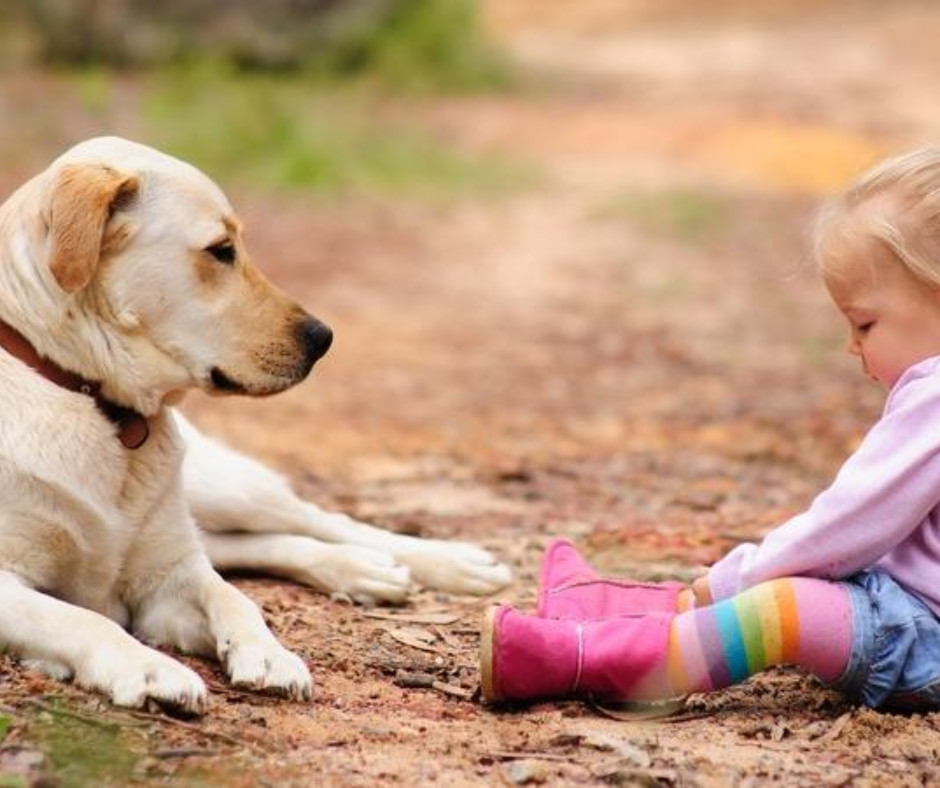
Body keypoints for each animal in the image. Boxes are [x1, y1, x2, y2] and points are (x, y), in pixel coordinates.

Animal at [0, 137, 506, 716]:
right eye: (221, 249)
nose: (324, 338)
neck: (98, 405)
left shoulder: (171, 575)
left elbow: (233, 597)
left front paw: (269, 655)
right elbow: (80, 617)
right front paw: (149, 668)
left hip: (224, 488)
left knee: (312, 519)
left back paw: (440, 563)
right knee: (243, 544)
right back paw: (360, 568)